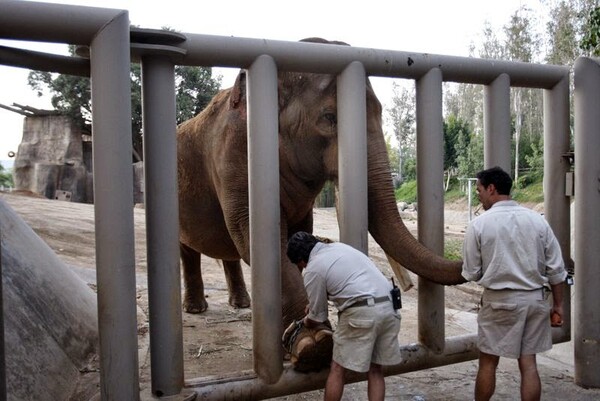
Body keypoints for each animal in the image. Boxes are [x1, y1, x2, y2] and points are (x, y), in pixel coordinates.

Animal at [176, 37, 466, 332]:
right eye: (329, 118)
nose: (402, 289)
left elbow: (298, 231)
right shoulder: (235, 155)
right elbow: (251, 232)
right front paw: (311, 339)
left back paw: (240, 304)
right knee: (187, 249)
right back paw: (196, 309)